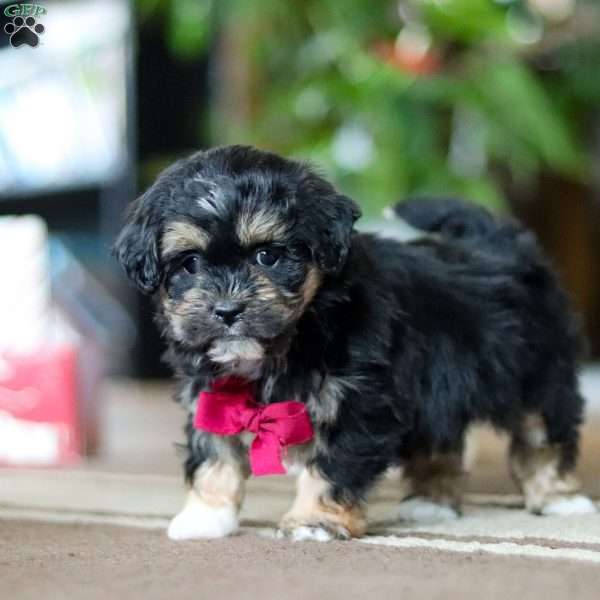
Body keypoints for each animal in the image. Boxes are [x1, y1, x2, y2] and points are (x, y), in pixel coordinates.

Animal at [113, 146, 596, 544]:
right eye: (190, 263)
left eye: (268, 256)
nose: (227, 310)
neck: (295, 334)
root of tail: (501, 245)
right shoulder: (213, 395)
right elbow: (214, 453)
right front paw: (206, 516)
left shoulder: (358, 400)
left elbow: (332, 464)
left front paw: (314, 521)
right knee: (440, 433)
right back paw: (432, 502)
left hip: (537, 370)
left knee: (543, 432)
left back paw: (558, 497)